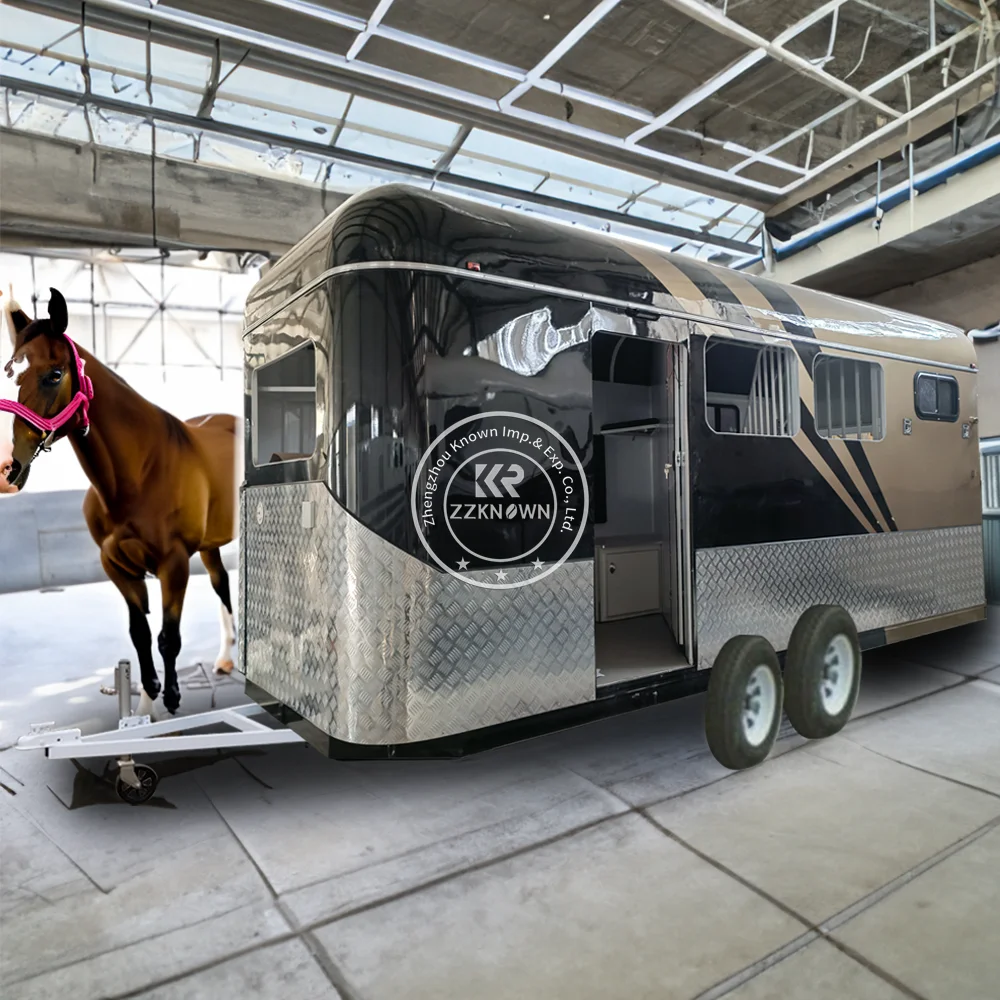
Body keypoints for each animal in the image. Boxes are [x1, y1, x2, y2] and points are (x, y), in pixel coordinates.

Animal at [2, 286, 241, 717]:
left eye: (54, 374)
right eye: (8, 370)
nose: (9, 465)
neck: (139, 474)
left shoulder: (173, 564)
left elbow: (167, 638)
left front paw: (172, 697)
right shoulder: (116, 566)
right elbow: (140, 633)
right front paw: (146, 703)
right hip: (210, 544)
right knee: (223, 585)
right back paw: (226, 658)